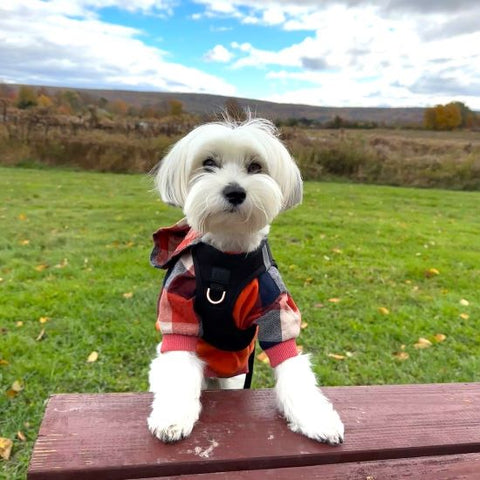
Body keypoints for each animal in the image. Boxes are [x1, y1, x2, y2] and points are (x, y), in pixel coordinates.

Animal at [148, 117, 344, 446]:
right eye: (208, 163)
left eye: (255, 166)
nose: (235, 191)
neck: (227, 259)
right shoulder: (178, 303)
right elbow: (179, 366)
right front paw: (172, 418)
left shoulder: (276, 305)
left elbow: (291, 365)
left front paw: (316, 418)